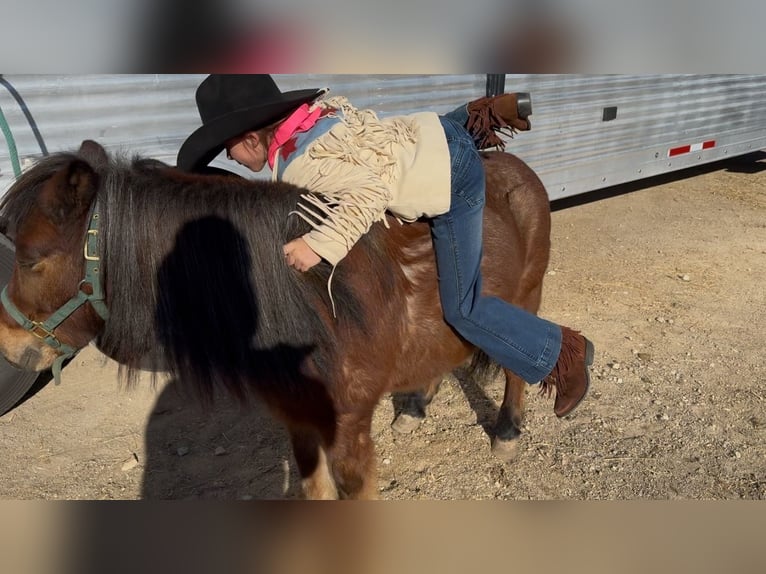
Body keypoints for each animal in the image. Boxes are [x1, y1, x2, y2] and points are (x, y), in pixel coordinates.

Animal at [0, 141, 552, 500]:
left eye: (29, 259)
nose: (8, 345)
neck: (313, 308)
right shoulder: (299, 420)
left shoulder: (348, 431)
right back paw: (416, 406)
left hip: (527, 295)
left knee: (518, 365)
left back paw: (507, 433)